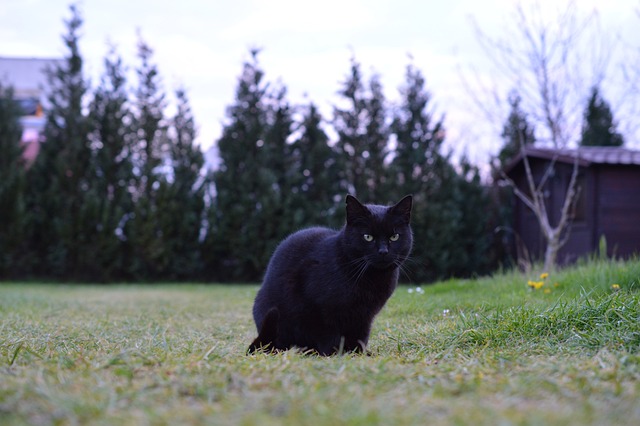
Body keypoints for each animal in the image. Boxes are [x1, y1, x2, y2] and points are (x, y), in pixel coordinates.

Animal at [248, 195, 412, 354]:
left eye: (394, 237)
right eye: (368, 237)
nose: (383, 251)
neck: (371, 278)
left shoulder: (364, 316)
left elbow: (360, 336)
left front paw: (359, 353)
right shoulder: (320, 310)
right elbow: (329, 336)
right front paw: (337, 354)